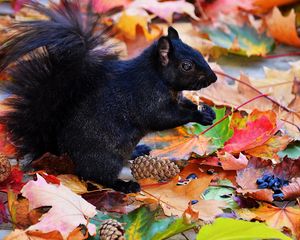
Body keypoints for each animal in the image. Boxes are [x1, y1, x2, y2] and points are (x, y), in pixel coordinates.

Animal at [0, 0, 216, 193]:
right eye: (186, 66)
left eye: (199, 52)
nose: (213, 78)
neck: (159, 77)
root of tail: (62, 153)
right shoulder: (147, 99)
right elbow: (164, 118)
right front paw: (198, 115)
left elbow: (184, 103)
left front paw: (206, 111)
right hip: (106, 159)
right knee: (98, 176)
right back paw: (124, 185)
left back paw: (138, 151)